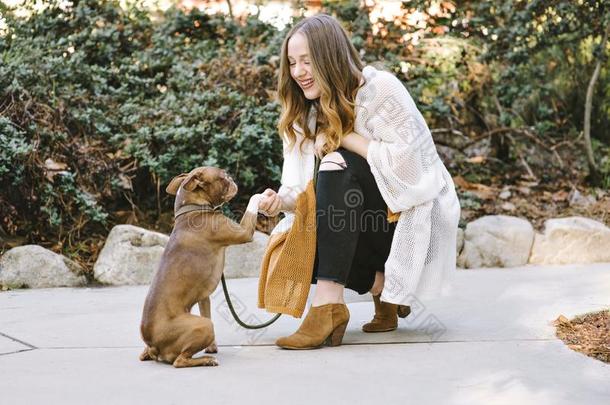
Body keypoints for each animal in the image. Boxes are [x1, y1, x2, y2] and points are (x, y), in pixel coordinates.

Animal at [139, 166, 260, 368]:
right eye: (223, 177)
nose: (232, 178)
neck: (192, 208)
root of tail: (154, 344)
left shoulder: (204, 297)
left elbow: (207, 311)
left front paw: (212, 346)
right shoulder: (244, 232)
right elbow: (253, 200)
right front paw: (263, 195)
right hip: (202, 326)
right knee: (179, 361)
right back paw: (206, 360)